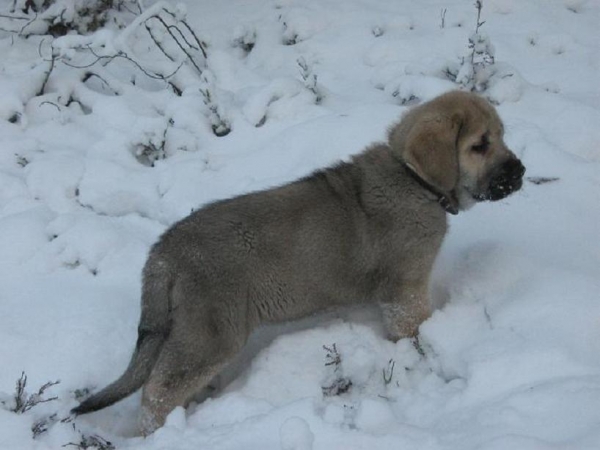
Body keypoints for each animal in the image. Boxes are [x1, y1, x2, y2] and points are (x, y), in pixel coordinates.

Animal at [72, 90, 524, 432]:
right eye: (479, 145)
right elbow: (413, 330)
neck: (413, 179)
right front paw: (423, 354)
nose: (520, 171)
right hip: (211, 333)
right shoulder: (406, 289)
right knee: (157, 393)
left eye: (501, 136)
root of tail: (165, 251)